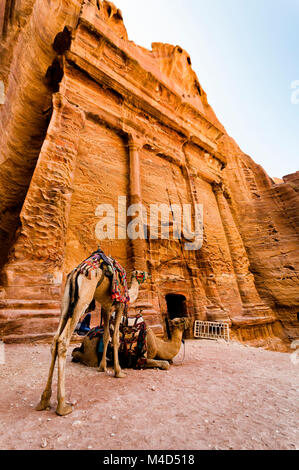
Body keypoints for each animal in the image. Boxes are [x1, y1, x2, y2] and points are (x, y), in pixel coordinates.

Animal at [35, 248, 148, 416]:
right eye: (141, 273)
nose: (148, 275)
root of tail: (76, 272)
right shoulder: (120, 305)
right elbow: (115, 338)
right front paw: (119, 371)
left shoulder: (107, 307)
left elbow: (106, 335)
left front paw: (102, 367)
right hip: (83, 298)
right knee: (63, 341)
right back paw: (63, 405)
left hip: (66, 302)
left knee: (55, 340)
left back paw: (44, 400)